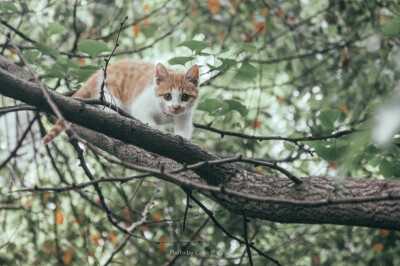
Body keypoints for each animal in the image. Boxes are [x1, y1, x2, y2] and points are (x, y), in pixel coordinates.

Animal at [42, 60, 200, 144]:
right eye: (167, 96)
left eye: (185, 97)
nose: (175, 106)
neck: (166, 114)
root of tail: (99, 73)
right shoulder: (141, 105)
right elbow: (147, 120)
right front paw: (157, 131)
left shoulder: (185, 116)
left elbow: (184, 129)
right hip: (110, 93)